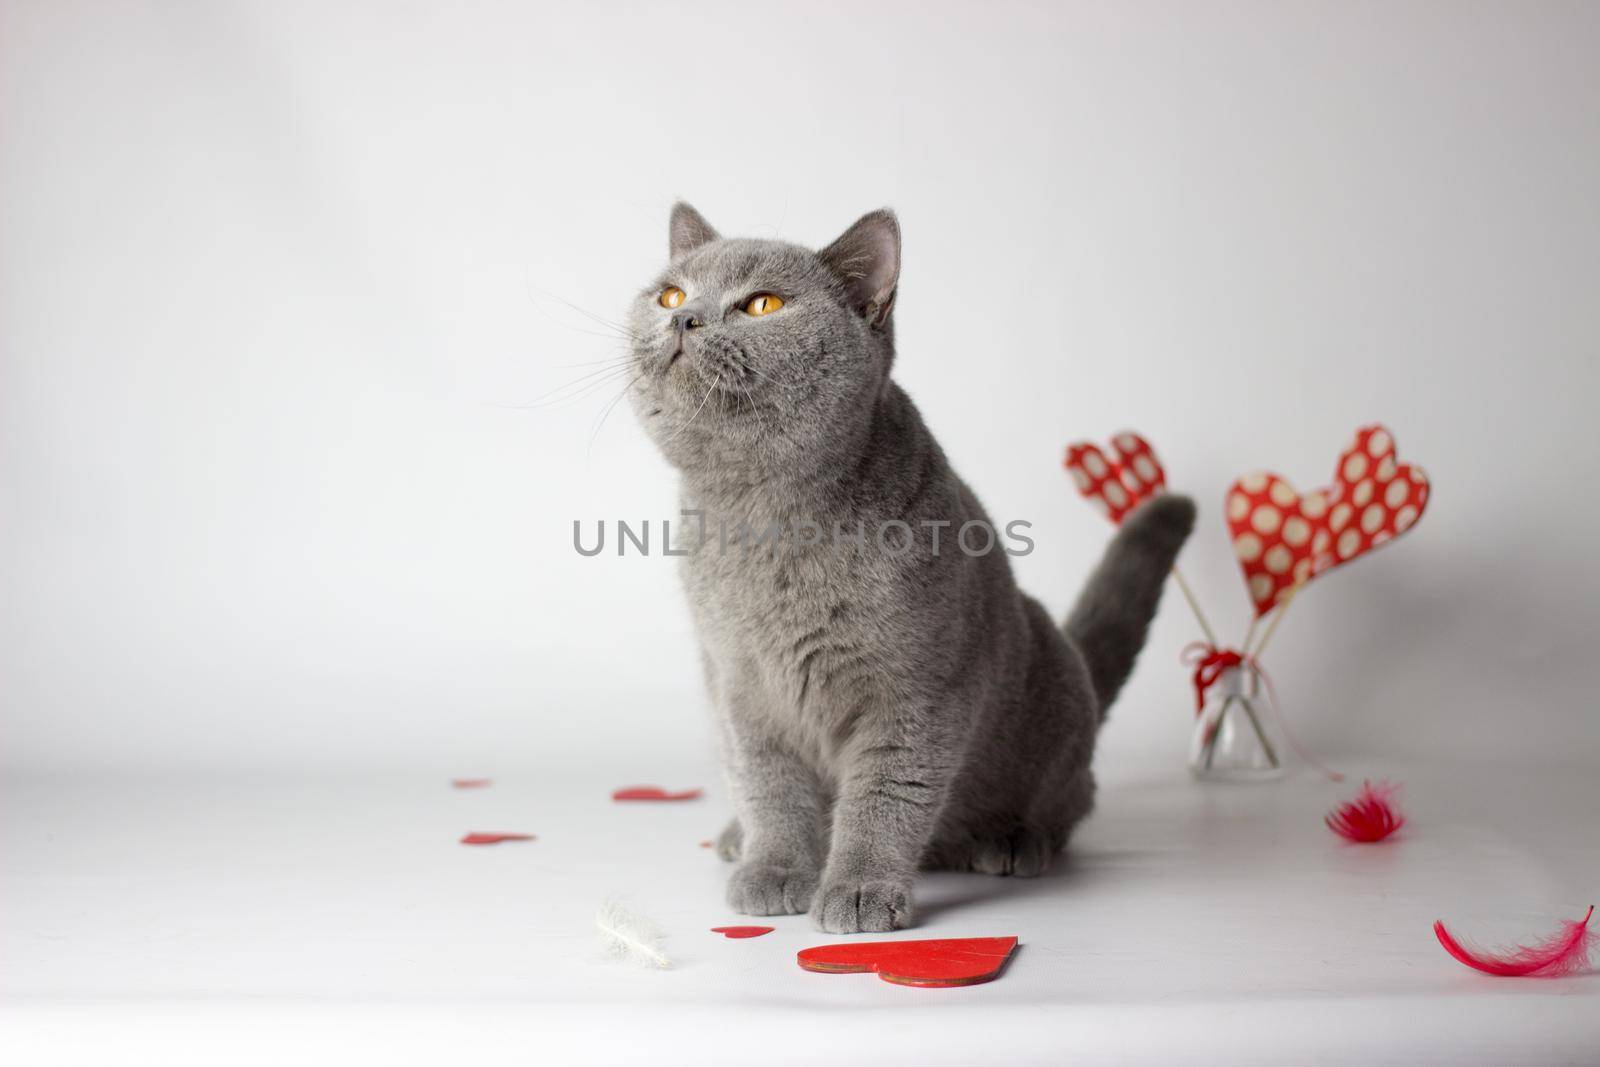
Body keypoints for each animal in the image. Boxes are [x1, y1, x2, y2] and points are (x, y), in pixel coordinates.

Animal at [620, 204, 1190, 927]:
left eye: (762, 304)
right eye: (669, 295)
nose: (684, 319)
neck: (765, 515)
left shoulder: (916, 689)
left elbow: (887, 795)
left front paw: (860, 891)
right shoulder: (739, 684)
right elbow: (769, 784)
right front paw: (774, 868)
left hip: (1052, 693)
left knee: (1072, 801)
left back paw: (1012, 839)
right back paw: (736, 836)